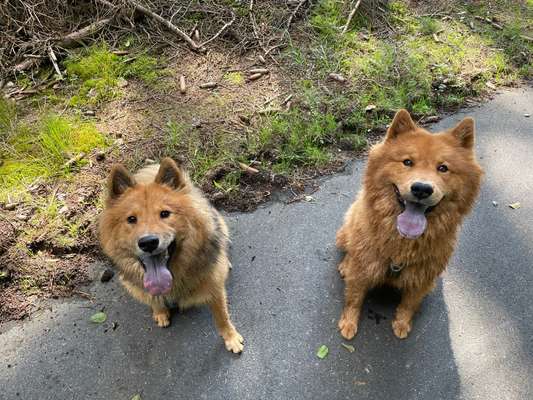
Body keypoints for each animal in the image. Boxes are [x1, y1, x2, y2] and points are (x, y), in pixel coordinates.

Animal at [98, 158, 244, 352]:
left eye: (165, 214)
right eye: (131, 219)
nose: (148, 242)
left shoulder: (215, 287)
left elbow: (222, 316)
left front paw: (231, 338)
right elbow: (153, 299)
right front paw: (160, 312)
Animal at [336, 110, 482, 340]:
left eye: (443, 168)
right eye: (407, 162)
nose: (421, 188)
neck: (402, 243)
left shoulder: (422, 279)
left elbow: (409, 304)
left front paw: (402, 323)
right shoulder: (363, 269)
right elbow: (354, 298)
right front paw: (349, 323)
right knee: (349, 247)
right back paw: (345, 264)